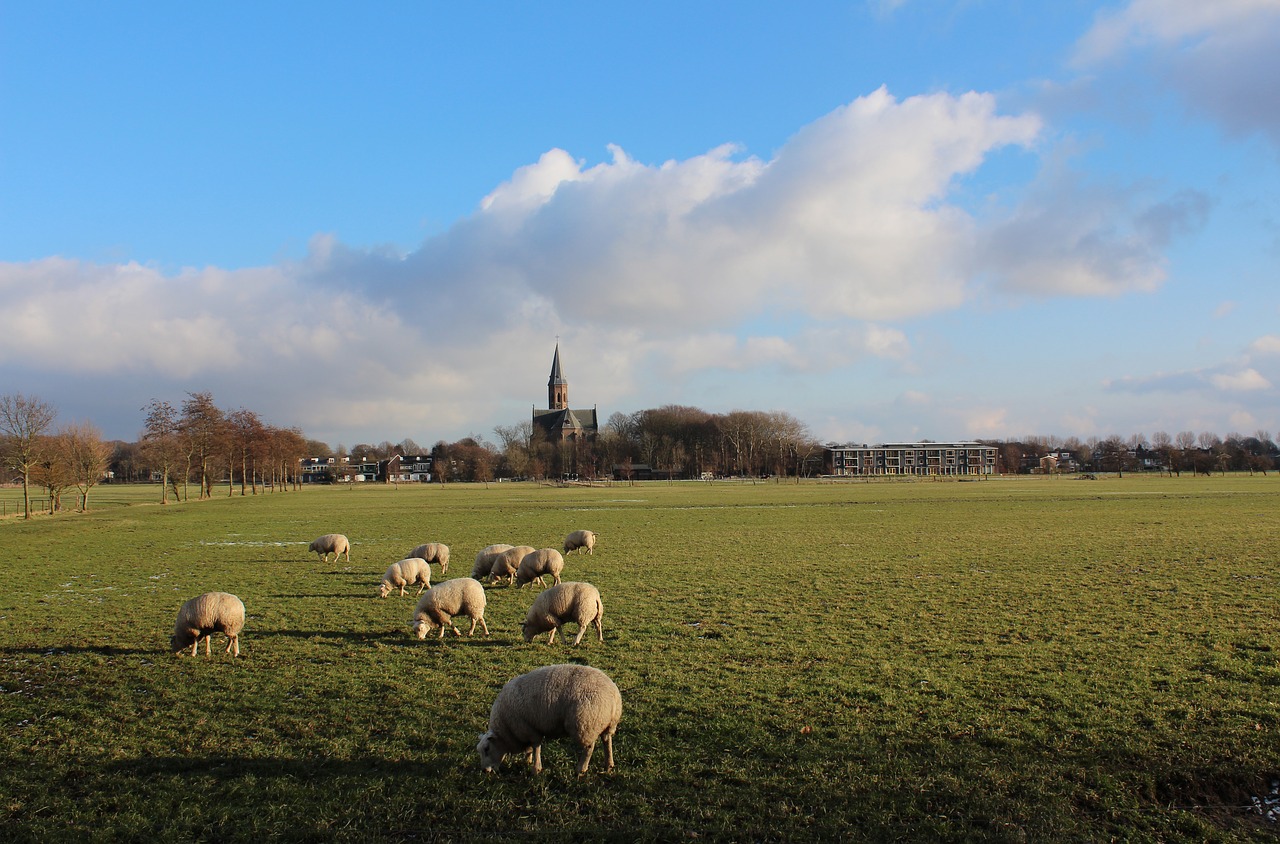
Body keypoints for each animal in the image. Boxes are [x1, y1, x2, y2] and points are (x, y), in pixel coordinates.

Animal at [478, 665, 622, 773]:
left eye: (487, 749)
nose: (484, 771)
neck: (506, 730)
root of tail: (613, 695)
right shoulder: (527, 731)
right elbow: (530, 748)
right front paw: (527, 760)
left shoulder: (529, 729)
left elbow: (536, 747)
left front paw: (536, 768)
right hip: (607, 724)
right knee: (607, 741)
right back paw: (608, 764)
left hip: (585, 724)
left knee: (589, 748)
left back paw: (581, 769)